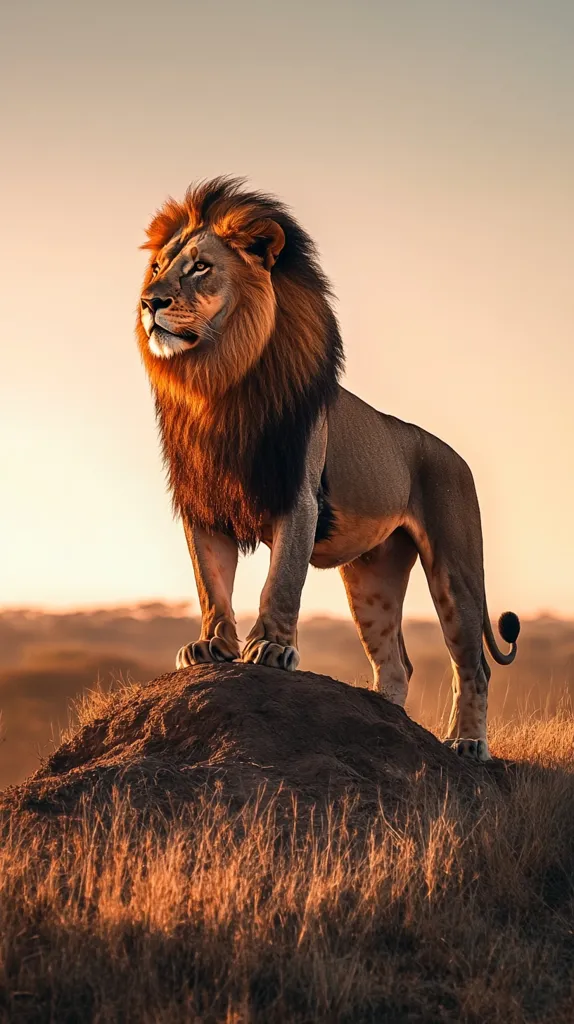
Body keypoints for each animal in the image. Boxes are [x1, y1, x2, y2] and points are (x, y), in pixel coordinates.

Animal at [136, 176, 519, 762]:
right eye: (158, 266)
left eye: (200, 267)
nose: (150, 301)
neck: (216, 384)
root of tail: (451, 453)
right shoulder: (204, 503)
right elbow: (210, 583)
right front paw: (212, 646)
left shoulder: (298, 495)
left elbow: (282, 580)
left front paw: (270, 647)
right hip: (371, 580)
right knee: (397, 663)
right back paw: (385, 721)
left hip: (455, 569)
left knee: (473, 665)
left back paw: (467, 744)